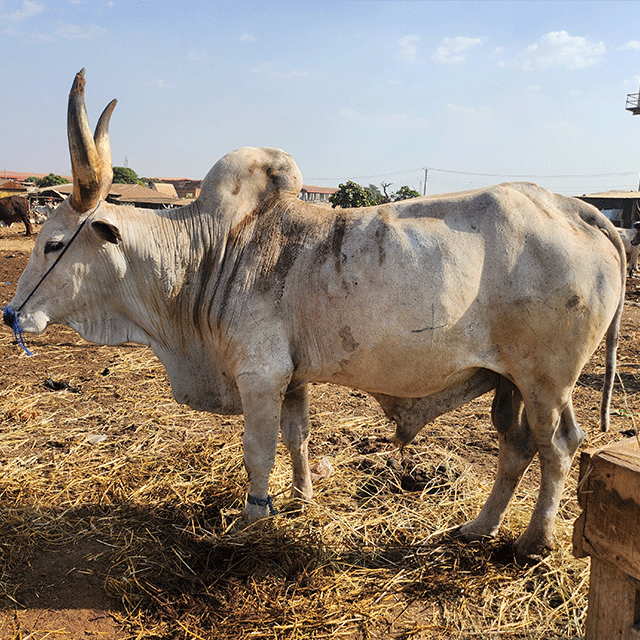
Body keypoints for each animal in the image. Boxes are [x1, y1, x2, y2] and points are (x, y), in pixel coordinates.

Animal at [3, 69, 626, 560]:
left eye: (54, 243)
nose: (13, 315)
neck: (213, 252)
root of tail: (580, 209)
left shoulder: (258, 376)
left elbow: (258, 452)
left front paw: (254, 518)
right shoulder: (293, 378)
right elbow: (298, 438)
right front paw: (302, 500)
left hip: (547, 380)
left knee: (559, 446)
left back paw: (534, 542)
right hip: (510, 381)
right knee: (516, 447)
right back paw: (478, 527)